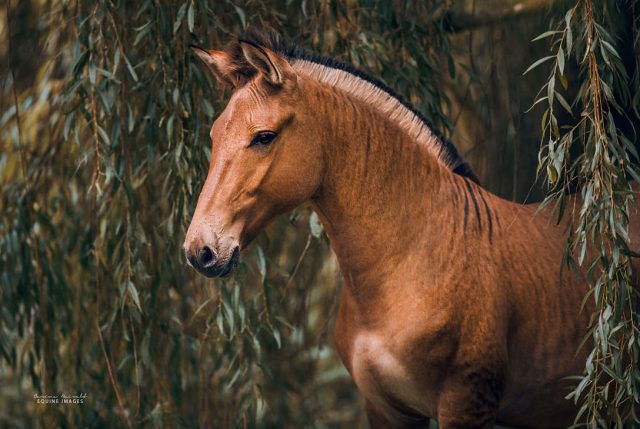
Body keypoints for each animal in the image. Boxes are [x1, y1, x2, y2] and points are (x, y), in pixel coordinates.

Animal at [182, 31, 636, 426]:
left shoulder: (465, 406)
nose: (200, 250)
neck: (413, 258)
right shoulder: (386, 410)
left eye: (264, 136)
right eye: (215, 134)